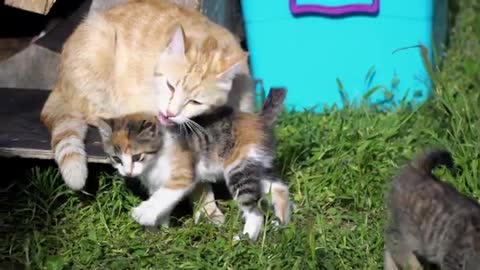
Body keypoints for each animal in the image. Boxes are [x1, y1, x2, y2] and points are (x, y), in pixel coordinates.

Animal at [99, 87, 290, 239]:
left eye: (137, 157)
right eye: (116, 159)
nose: (127, 172)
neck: (155, 160)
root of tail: (258, 119)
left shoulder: (183, 175)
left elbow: (163, 196)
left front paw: (143, 214)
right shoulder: (156, 182)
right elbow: (163, 202)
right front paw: (159, 231)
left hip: (239, 168)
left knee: (255, 210)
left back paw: (245, 238)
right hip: (256, 165)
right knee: (280, 188)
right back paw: (282, 224)